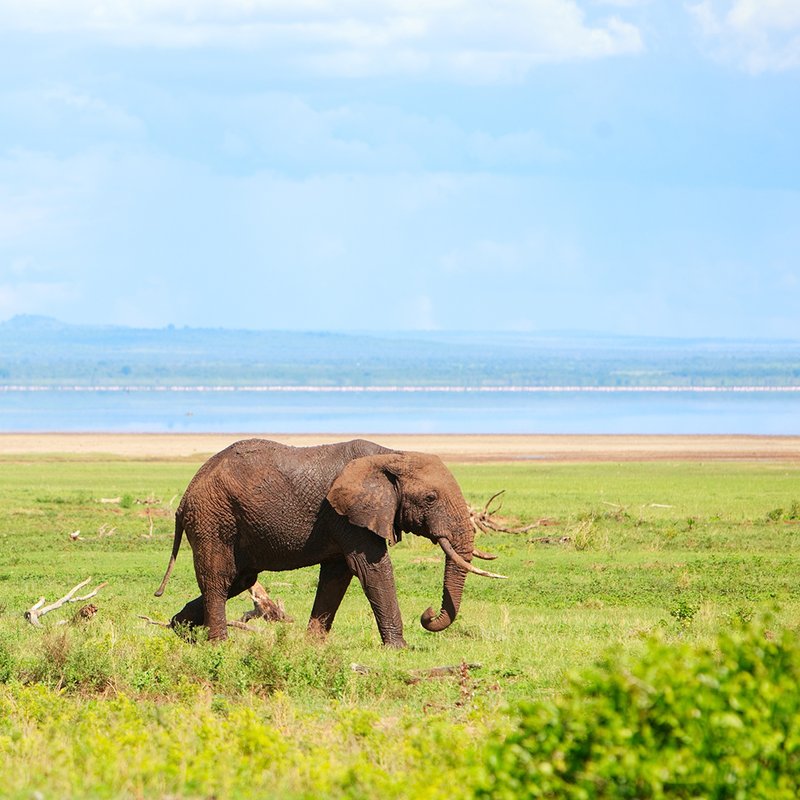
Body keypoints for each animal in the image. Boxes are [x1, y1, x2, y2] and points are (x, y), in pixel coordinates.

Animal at [155, 438, 504, 646]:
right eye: (430, 498)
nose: (428, 614)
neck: (393, 455)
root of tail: (184, 498)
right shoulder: (350, 516)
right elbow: (372, 570)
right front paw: (399, 648)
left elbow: (337, 575)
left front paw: (312, 644)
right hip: (213, 517)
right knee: (219, 578)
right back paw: (218, 643)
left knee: (238, 579)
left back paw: (179, 629)